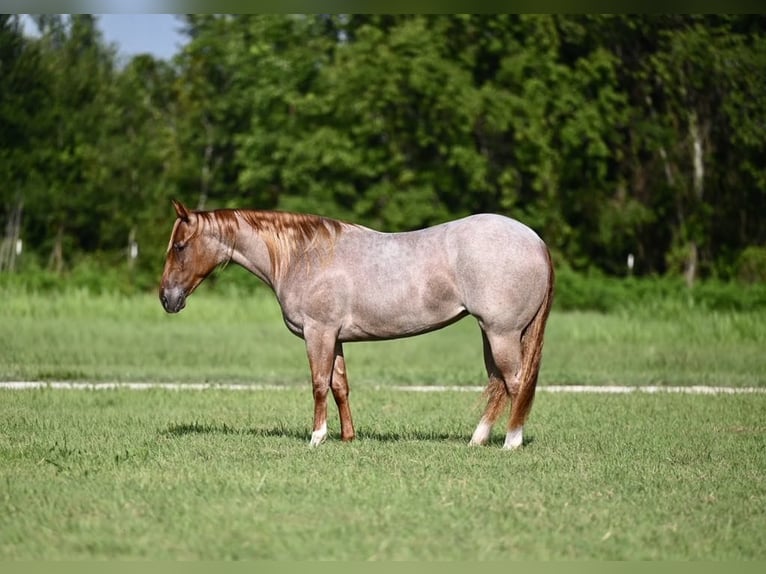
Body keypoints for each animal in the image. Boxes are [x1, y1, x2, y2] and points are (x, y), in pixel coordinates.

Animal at [159, 200, 554, 449]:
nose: (167, 298)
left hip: (502, 332)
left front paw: (317, 437)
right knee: (498, 384)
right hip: (492, 333)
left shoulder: (318, 332)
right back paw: (477, 440)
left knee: (515, 382)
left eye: (179, 246)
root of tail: (535, 241)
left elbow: (319, 384)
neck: (304, 256)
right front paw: (348, 437)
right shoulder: (335, 337)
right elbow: (340, 386)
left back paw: (511, 443)